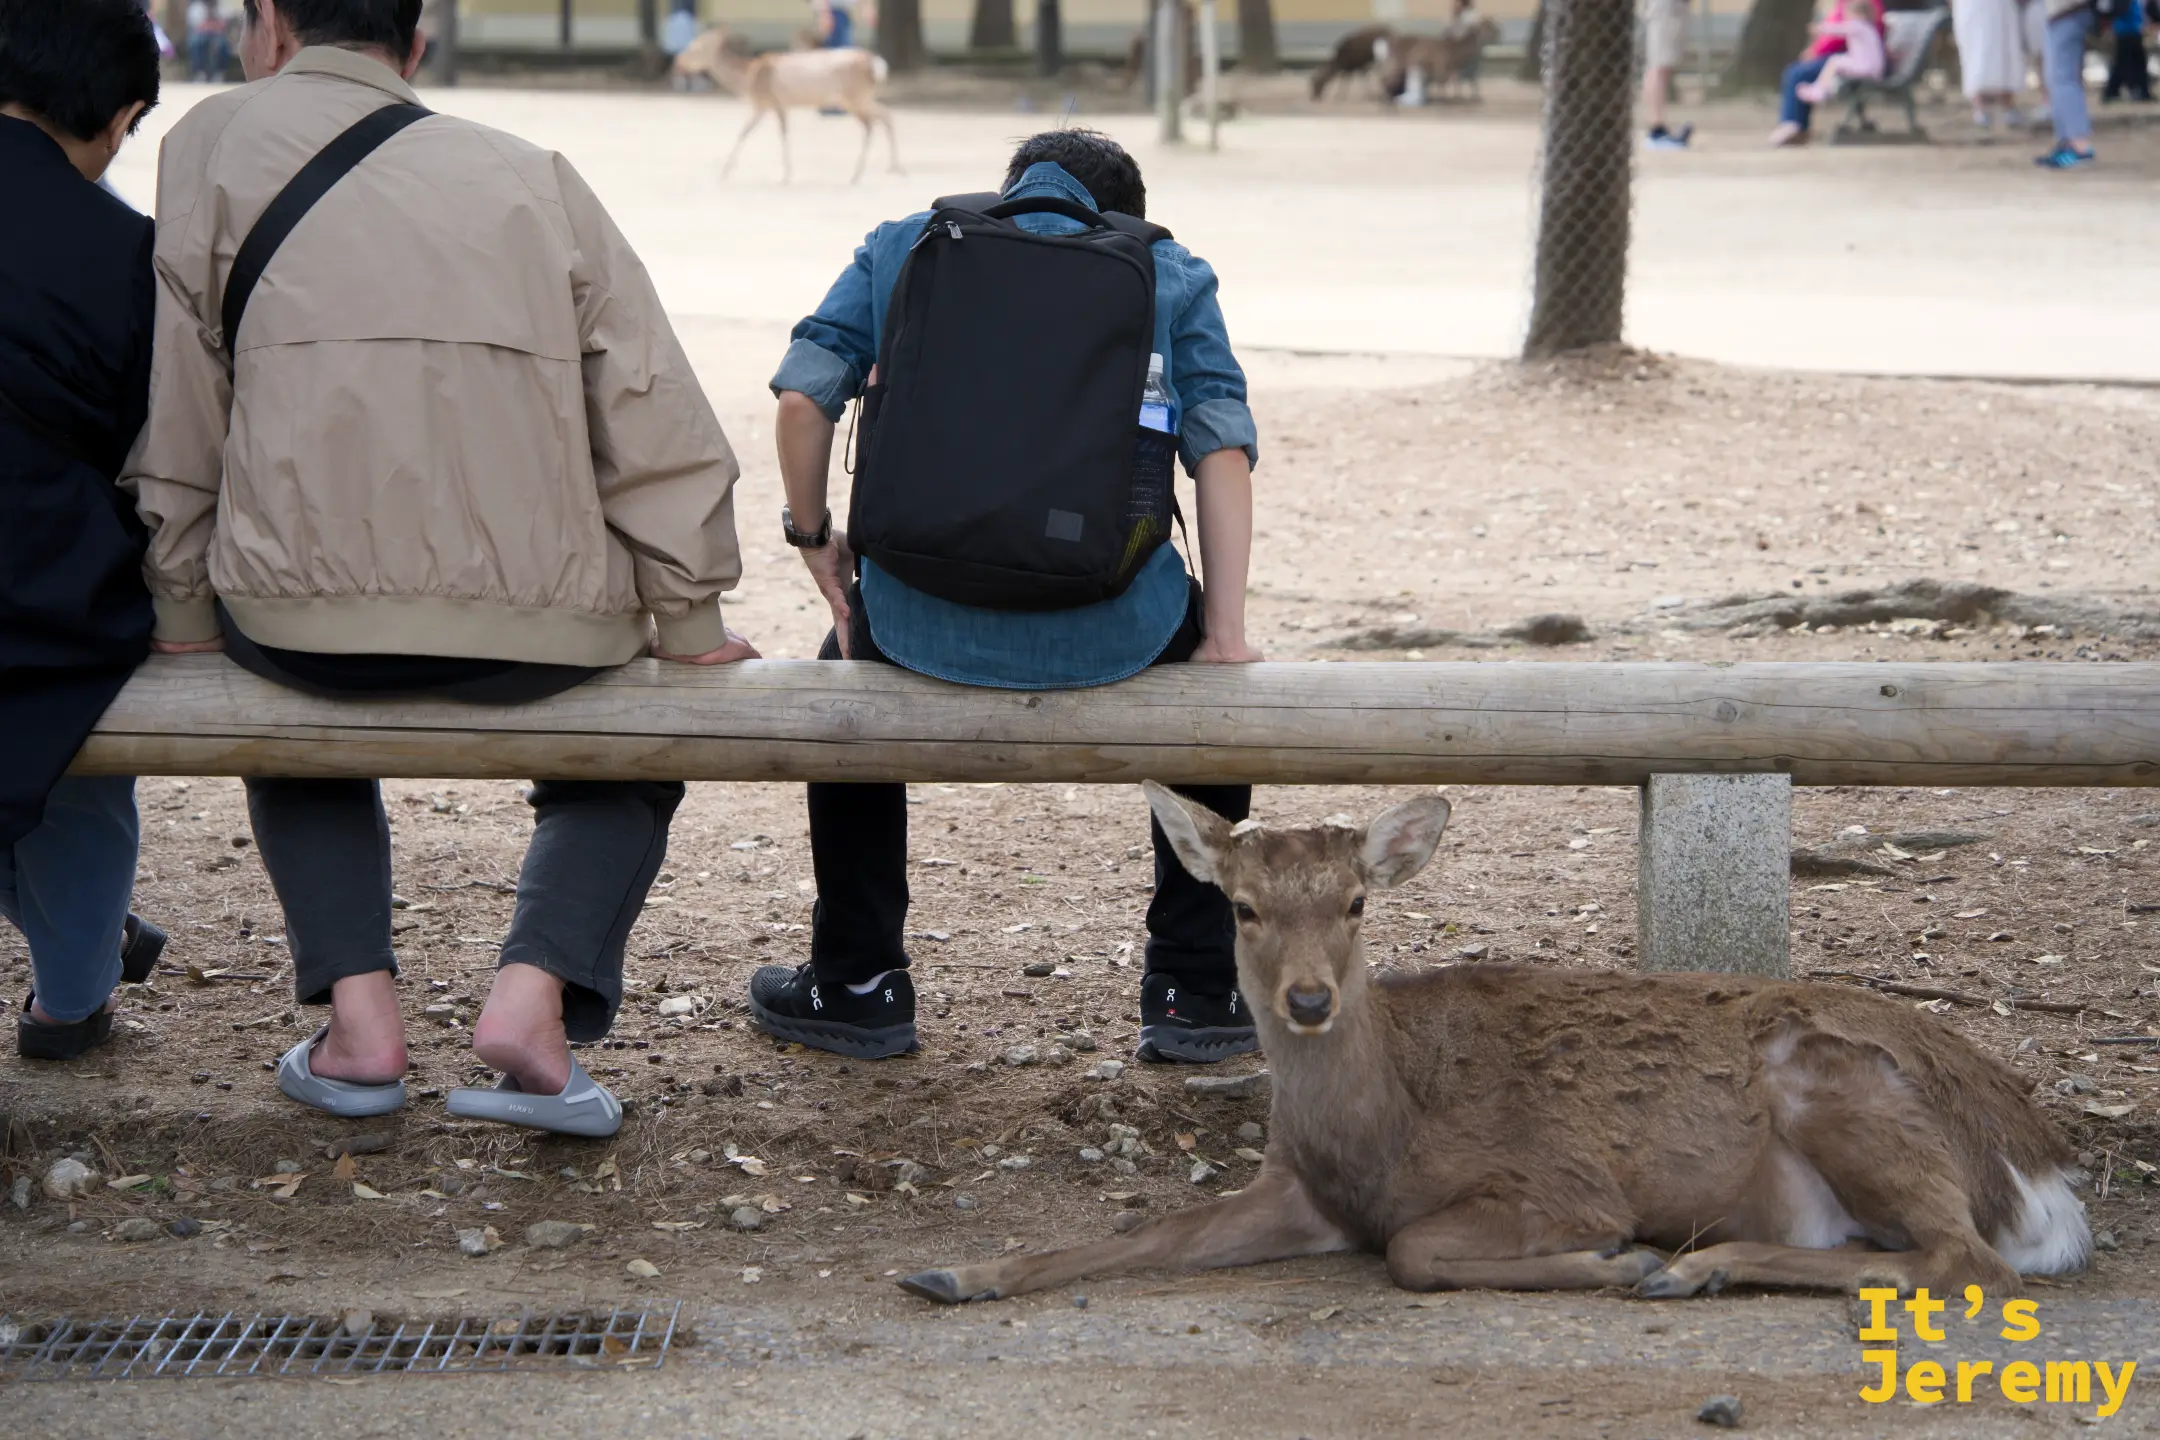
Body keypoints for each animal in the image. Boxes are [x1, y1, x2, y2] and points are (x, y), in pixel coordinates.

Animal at [671, 27, 900, 185]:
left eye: (696, 47)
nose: (678, 60)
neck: (748, 79)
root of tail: (877, 64)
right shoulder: (761, 106)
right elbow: (744, 132)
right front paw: (725, 170)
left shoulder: (775, 101)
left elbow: (782, 134)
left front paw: (786, 175)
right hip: (860, 98)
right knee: (885, 115)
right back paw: (893, 167)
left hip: (854, 96)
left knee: (872, 122)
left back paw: (857, 173)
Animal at [899, 784, 2090, 1306]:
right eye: (1241, 906)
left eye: (1357, 901)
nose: (1309, 1000)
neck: (1378, 1136)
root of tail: (2041, 1168)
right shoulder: (1301, 1195)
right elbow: (1144, 1232)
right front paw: (958, 1271)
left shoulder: (1559, 1179)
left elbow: (1416, 1252)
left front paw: (1618, 1258)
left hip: (1840, 1085)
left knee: (1965, 1257)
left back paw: (1690, 1266)